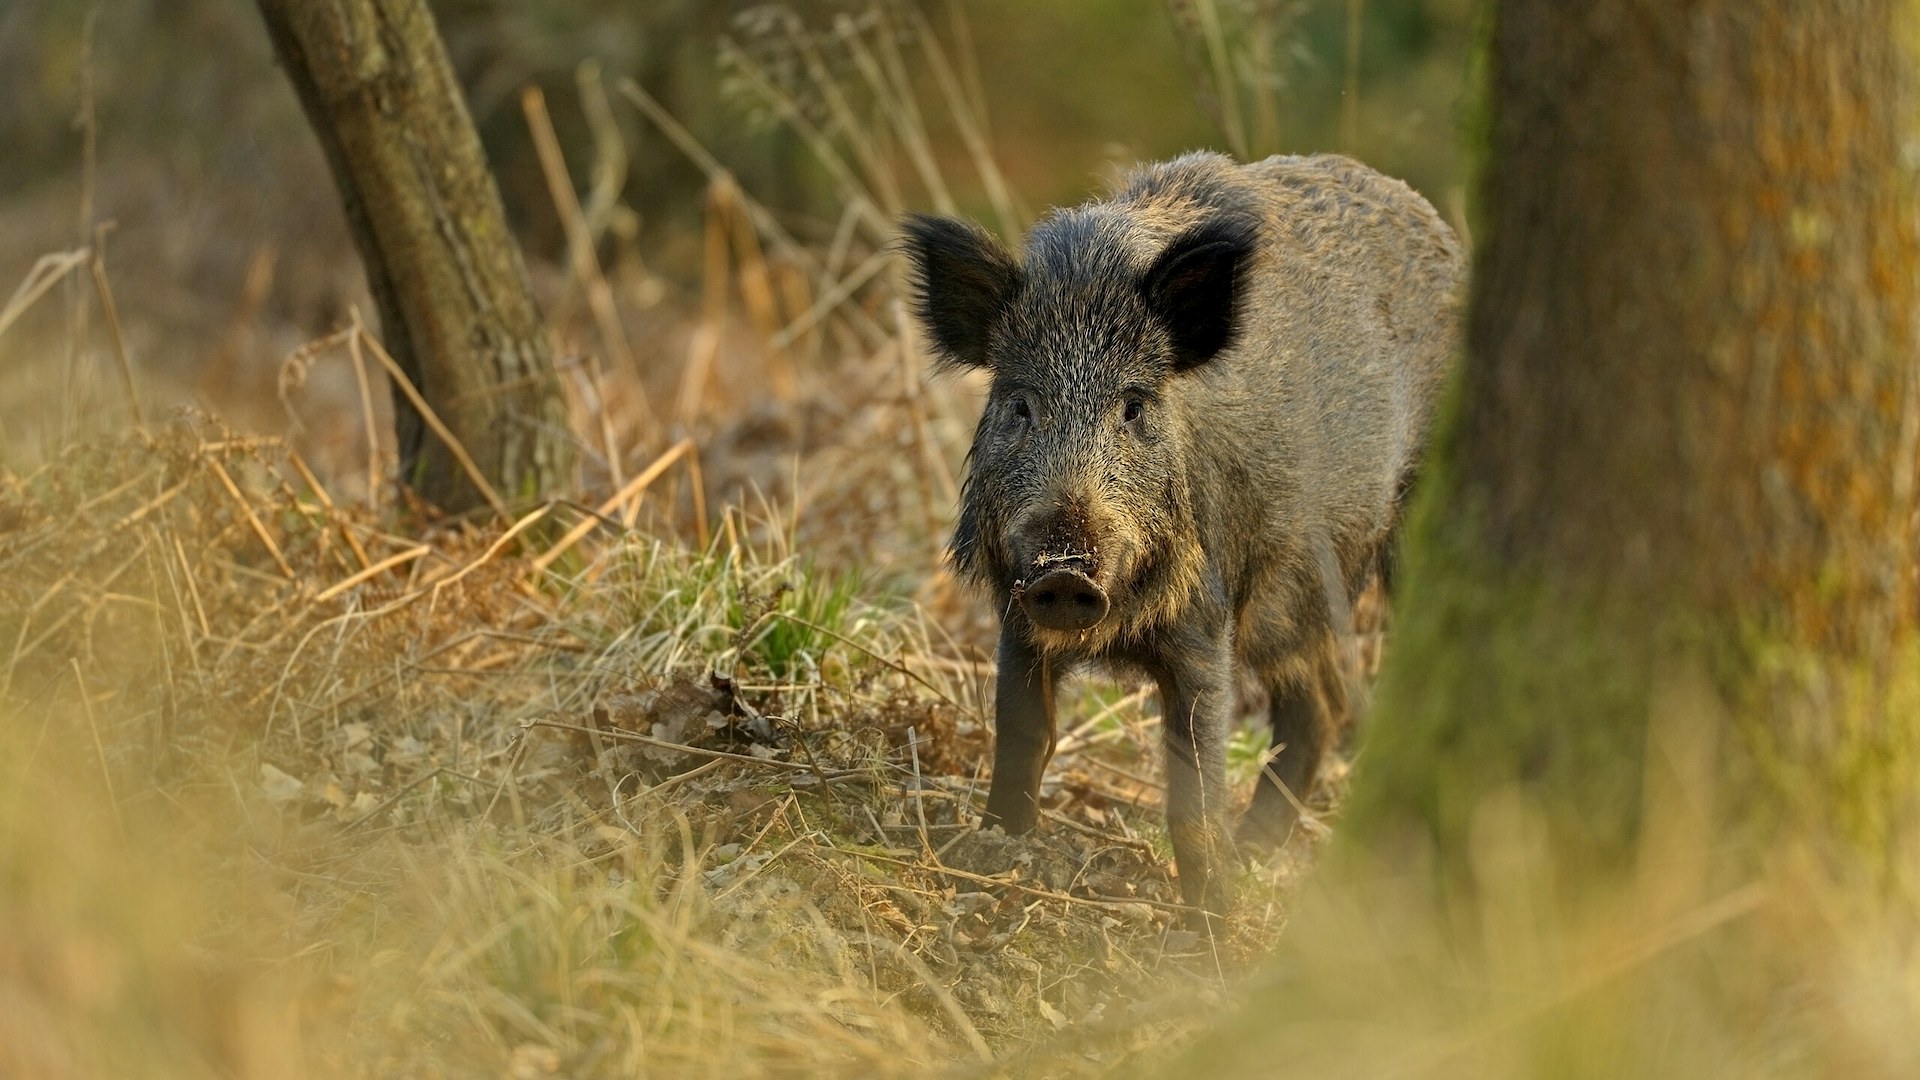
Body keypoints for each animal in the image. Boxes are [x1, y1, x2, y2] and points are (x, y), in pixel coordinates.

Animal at [901, 151, 1463, 919]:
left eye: (1133, 406)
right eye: (1020, 404)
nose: (1066, 570)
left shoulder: (1205, 613)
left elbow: (1194, 783)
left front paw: (1212, 922)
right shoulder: (1018, 609)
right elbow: (1021, 736)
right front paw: (990, 856)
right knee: (1318, 705)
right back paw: (1256, 853)